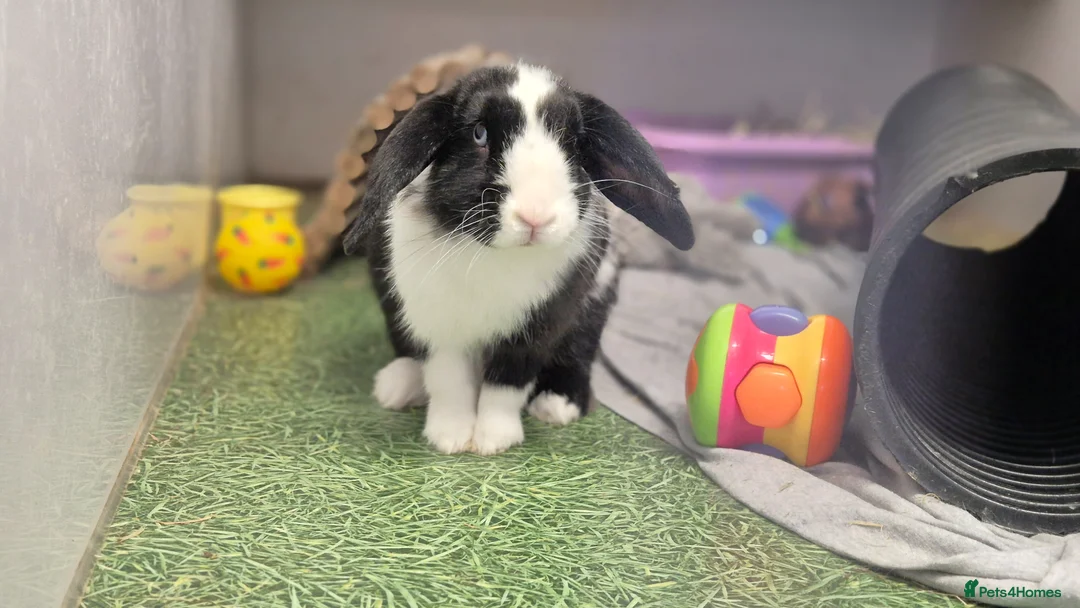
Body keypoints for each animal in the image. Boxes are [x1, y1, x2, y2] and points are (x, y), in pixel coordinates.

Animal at [341, 63, 694, 455]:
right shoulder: (438, 327)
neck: (496, 256)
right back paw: (397, 386)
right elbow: (449, 382)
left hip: (594, 305)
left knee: (579, 353)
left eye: (573, 143)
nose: (535, 216)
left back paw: (557, 405)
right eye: (479, 134)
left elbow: (506, 384)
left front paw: (494, 440)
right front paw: (450, 438)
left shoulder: (536, 329)